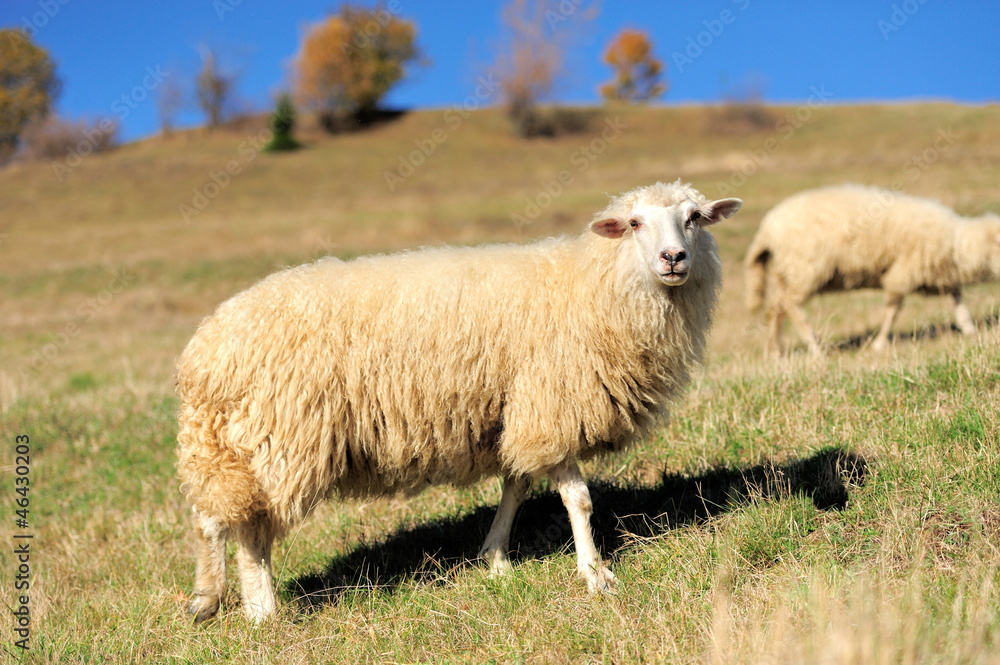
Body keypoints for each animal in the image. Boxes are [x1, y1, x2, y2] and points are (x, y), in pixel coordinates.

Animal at [178, 179, 744, 620]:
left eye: (694, 218)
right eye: (633, 223)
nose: (674, 258)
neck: (589, 285)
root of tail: (205, 349)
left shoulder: (517, 410)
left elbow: (515, 485)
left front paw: (495, 559)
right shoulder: (552, 404)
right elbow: (578, 499)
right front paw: (595, 574)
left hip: (231, 442)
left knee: (213, 516)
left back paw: (208, 599)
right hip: (282, 437)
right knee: (247, 528)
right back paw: (261, 611)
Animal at [744, 184, 1000, 356]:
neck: (956, 242)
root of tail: (767, 228)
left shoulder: (939, 274)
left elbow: (956, 299)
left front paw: (969, 328)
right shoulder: (904, 270)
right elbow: (893, 309)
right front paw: (880, 342)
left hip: (787, 271)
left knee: (776, 308)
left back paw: (776, 350)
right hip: (806, 268)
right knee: (790, 305)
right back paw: (815, 346)